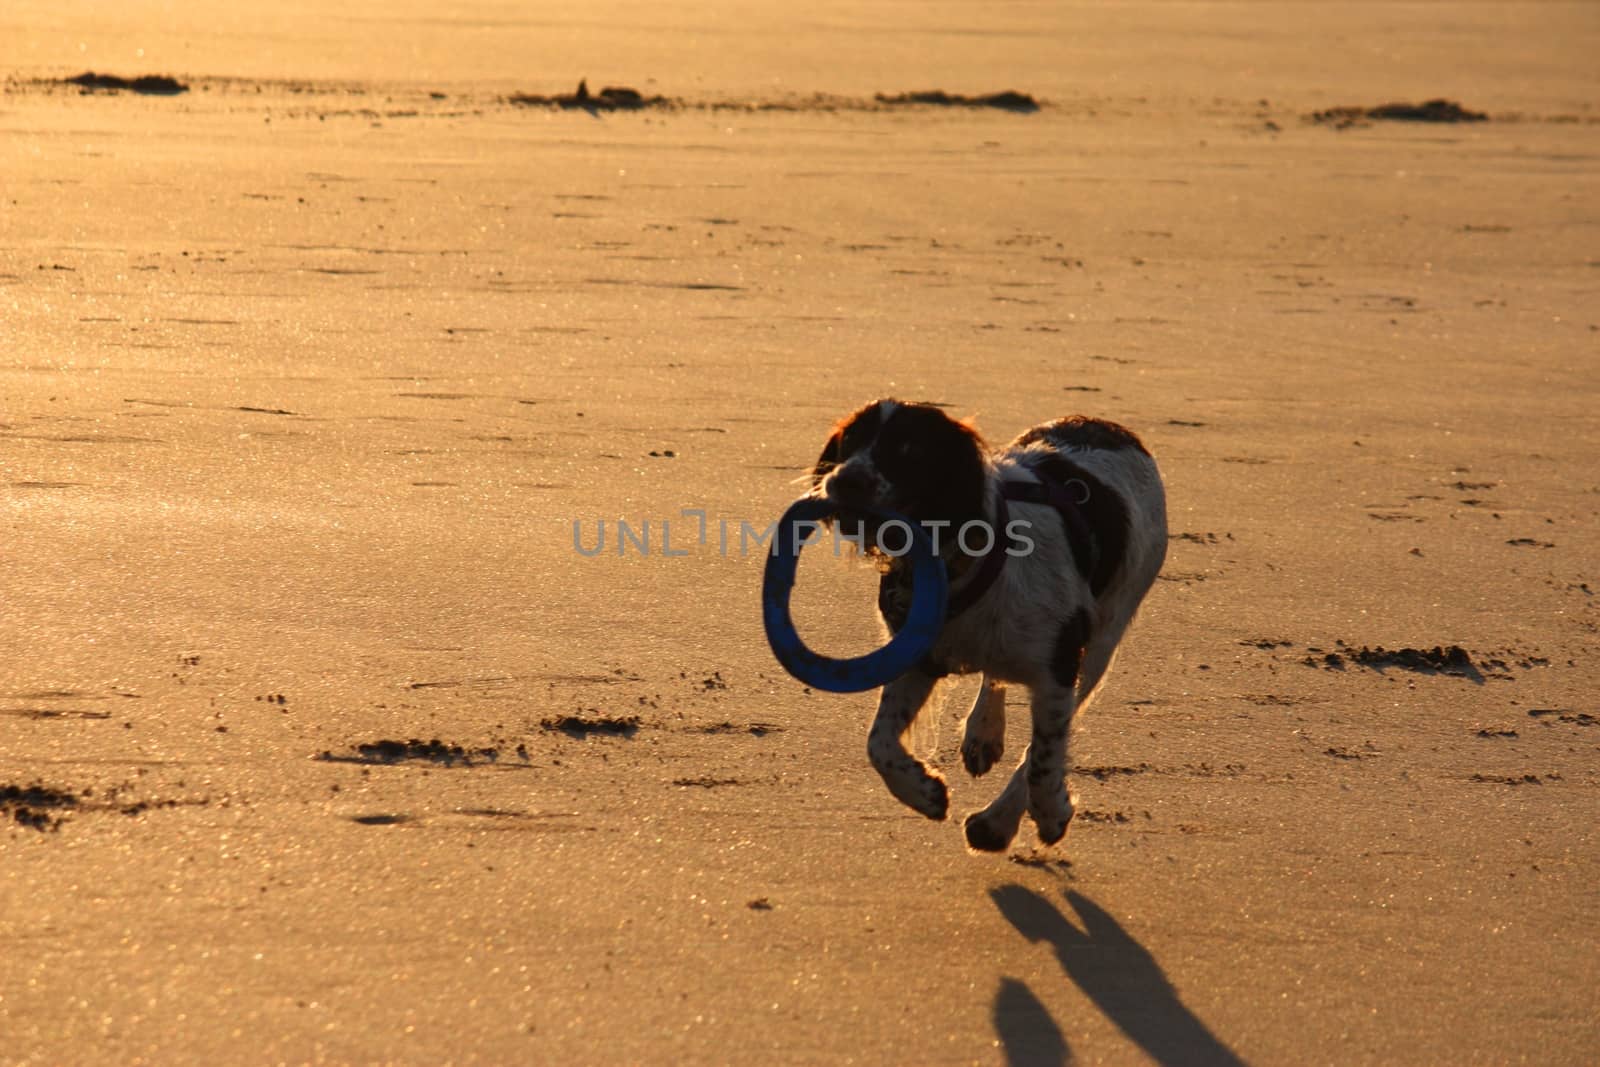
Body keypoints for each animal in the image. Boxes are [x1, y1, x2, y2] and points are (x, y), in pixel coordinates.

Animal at [806, 399, 1171, 851]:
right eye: (852, 438)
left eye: (910, 449)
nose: (846, 480)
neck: (959, 564)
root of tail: (1110, 427)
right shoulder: (919, 658)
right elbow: (879, 743)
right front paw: (924, 792)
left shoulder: (1059, 666)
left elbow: (1042, 758)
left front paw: (1045, 814)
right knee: (993, 678)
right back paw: (983, 734)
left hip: (1104, 637)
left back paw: (996, 822)